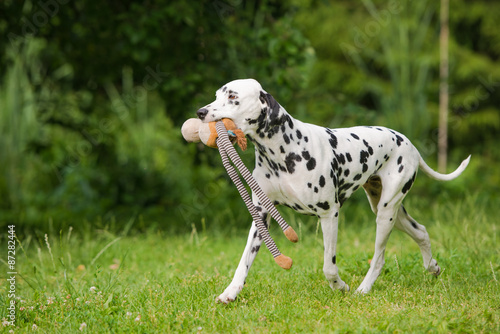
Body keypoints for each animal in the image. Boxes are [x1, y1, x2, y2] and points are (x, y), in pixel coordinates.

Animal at [194, 78, 468, 302]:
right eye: (217, 94)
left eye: (233, 96)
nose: (200, 111)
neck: (283, 152)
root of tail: (409, 144)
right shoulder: (261, 214)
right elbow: (243, 263)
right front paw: (230, 293)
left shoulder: (329, 214)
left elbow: (329, 266)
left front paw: (340, 286)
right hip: (390, 210)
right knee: (421, 232)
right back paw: (432, 266)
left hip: (386, 214)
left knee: (379, 257)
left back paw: (363, 289)